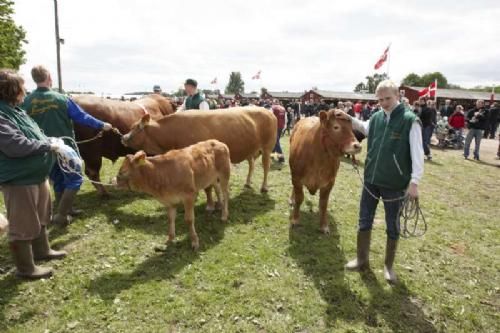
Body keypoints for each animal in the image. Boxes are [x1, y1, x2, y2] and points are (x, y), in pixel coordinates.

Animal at [121, 106, 278, 192]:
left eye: (135, 127)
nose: (123, 137)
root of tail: (268, 111)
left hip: (267, 147)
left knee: (266, 166)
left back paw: (264, 187)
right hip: (251, 149)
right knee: (252, 164)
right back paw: (247, 182)